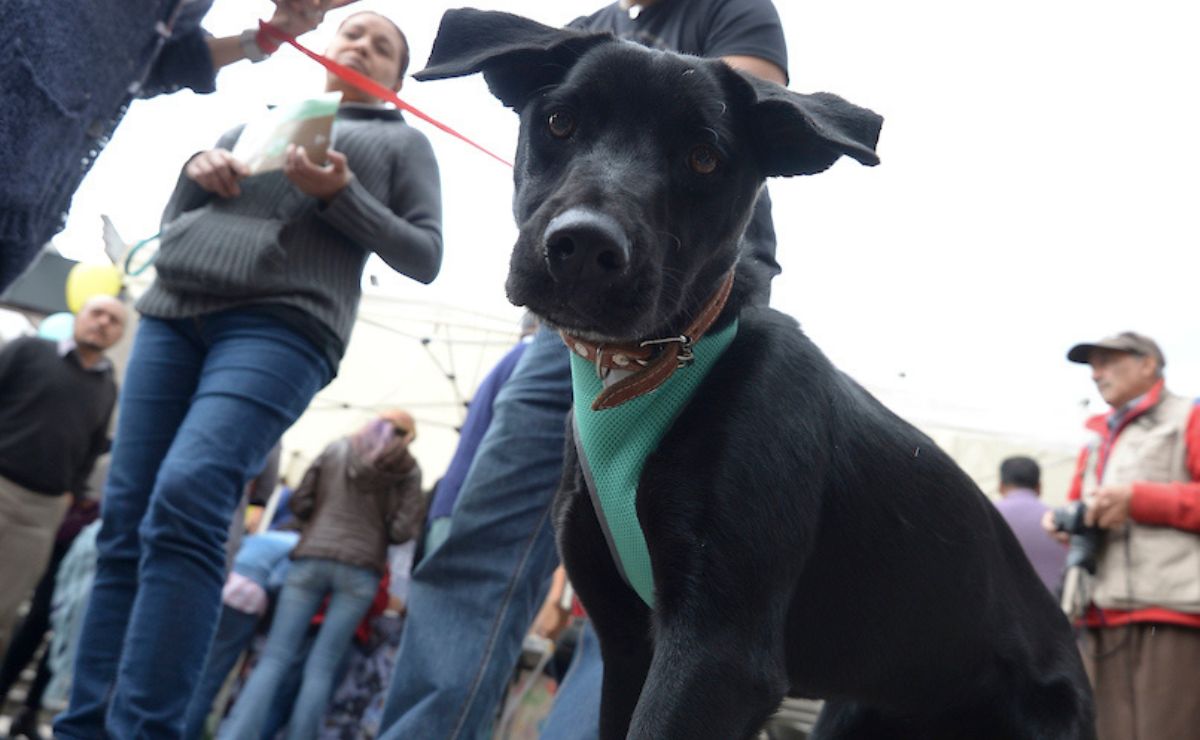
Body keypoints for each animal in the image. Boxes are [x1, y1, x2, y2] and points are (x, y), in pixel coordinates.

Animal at [417, 8, 1094, 734]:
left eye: (704, 158)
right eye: (560, 122)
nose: (585, 248)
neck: (649, 368)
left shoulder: (719, 652)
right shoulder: (625, 645)